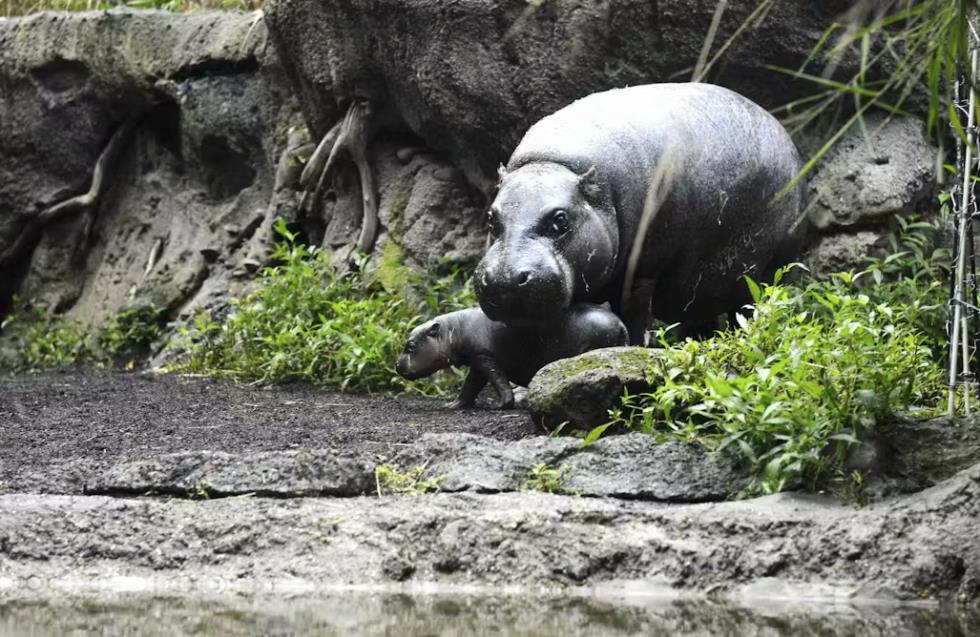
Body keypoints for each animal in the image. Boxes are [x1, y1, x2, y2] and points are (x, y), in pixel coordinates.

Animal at [396, 302, 628, 408]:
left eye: (410, 345)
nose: (397, 364)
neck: (454, 330)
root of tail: (620, 323)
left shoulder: (485, 358)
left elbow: (498, 380)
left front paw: (500, 405)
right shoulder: (477, 361)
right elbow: (469, 387)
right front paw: (452, 405)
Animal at [474, 84, 804, 346]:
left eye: (560, 219)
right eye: (491, 218)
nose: (504, 279)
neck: (551, 165)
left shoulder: (643, 271)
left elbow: (634, 317)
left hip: (763, 276)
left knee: (750, 309)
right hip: (702, 291)